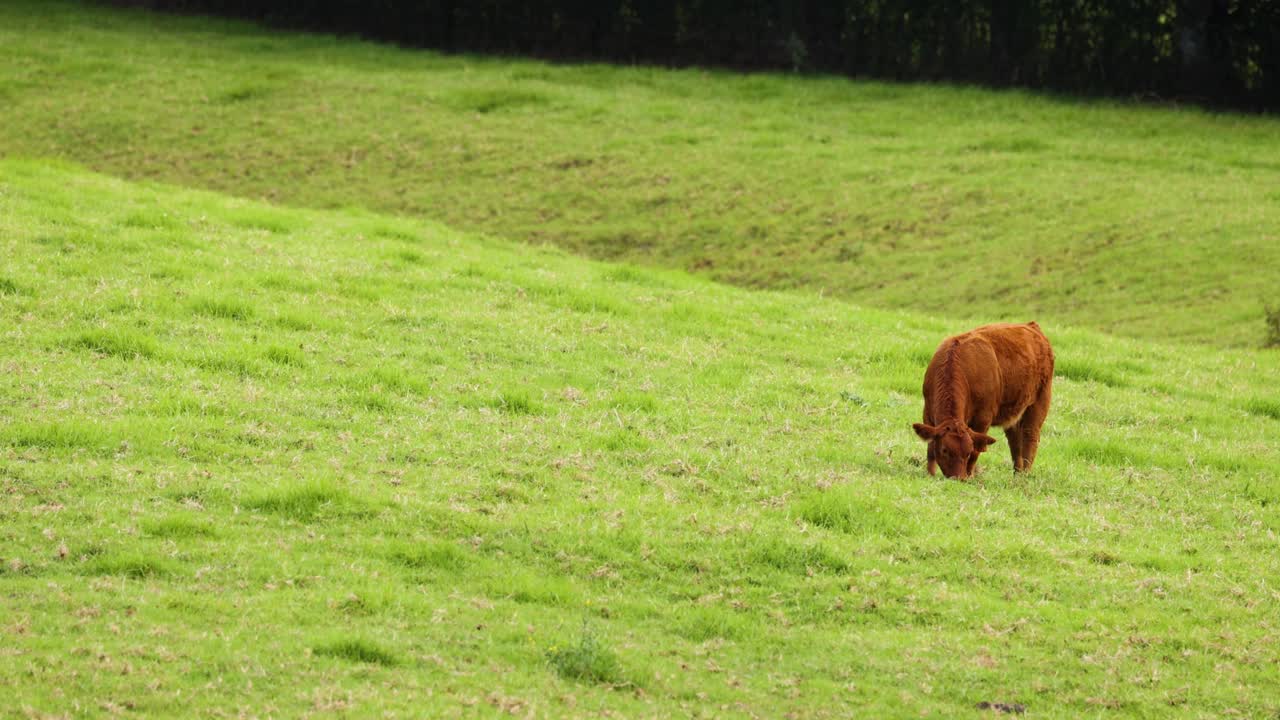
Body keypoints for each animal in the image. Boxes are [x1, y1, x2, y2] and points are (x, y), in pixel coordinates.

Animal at [916, 319, 1054, 476]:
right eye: (945, 450)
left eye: (967, 453)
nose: (959, 478)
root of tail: (1031, 326)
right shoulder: (928, 412)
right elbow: (930, 448)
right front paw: (930, 474)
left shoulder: (983, 419)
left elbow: (976, 451)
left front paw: (971, 475)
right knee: (1015, 441)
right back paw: (1017, 474)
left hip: (1040, 401)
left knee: (1030, 436)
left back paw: (1025, 474)